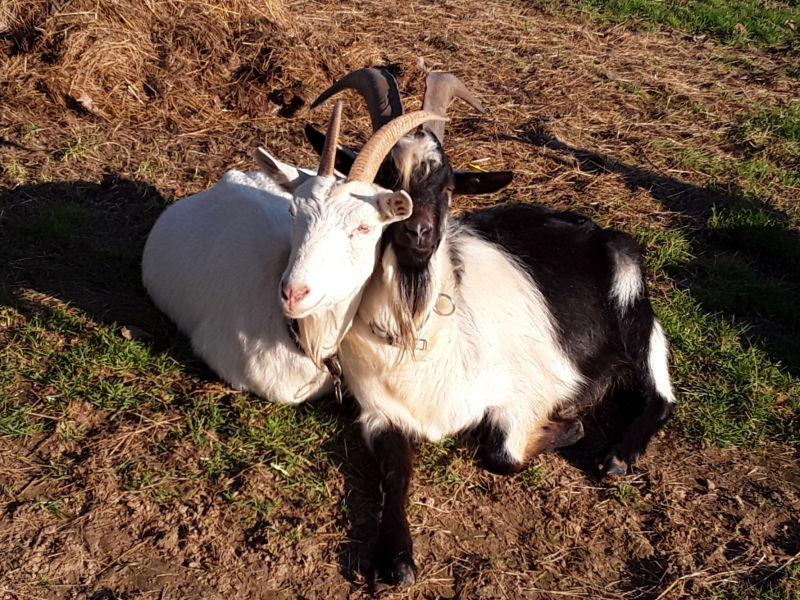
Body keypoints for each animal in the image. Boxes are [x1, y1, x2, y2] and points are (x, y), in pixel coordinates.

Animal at [310, 68, 672, 584]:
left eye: (448, 187)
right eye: (384, 180)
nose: (417, 233)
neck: (422, 334)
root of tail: (594, 229)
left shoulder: (530, 389)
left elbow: (502, 453)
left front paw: (571, 427)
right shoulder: (380, 413)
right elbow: (395, 474)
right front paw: (397, 558)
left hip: (630, 295)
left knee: (659, 391)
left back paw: (618, 456)